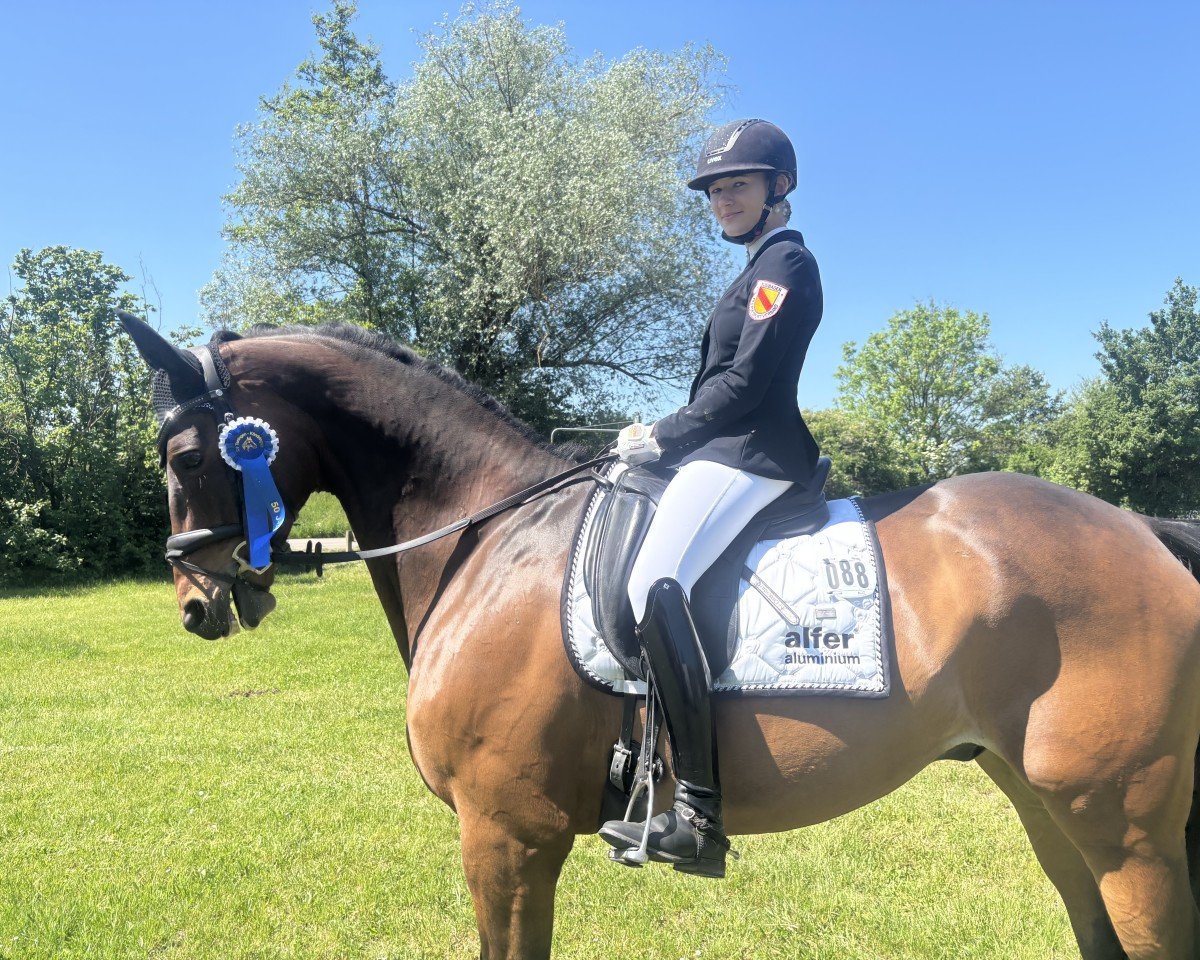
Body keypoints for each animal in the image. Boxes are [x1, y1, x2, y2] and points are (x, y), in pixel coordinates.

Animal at [123, 314, 1200, 960]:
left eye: (187, 456)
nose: (193, 601)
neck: (487, 532)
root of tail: (1142, 530)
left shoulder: (505, 833)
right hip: (1047, 806)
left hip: (1125, 828)